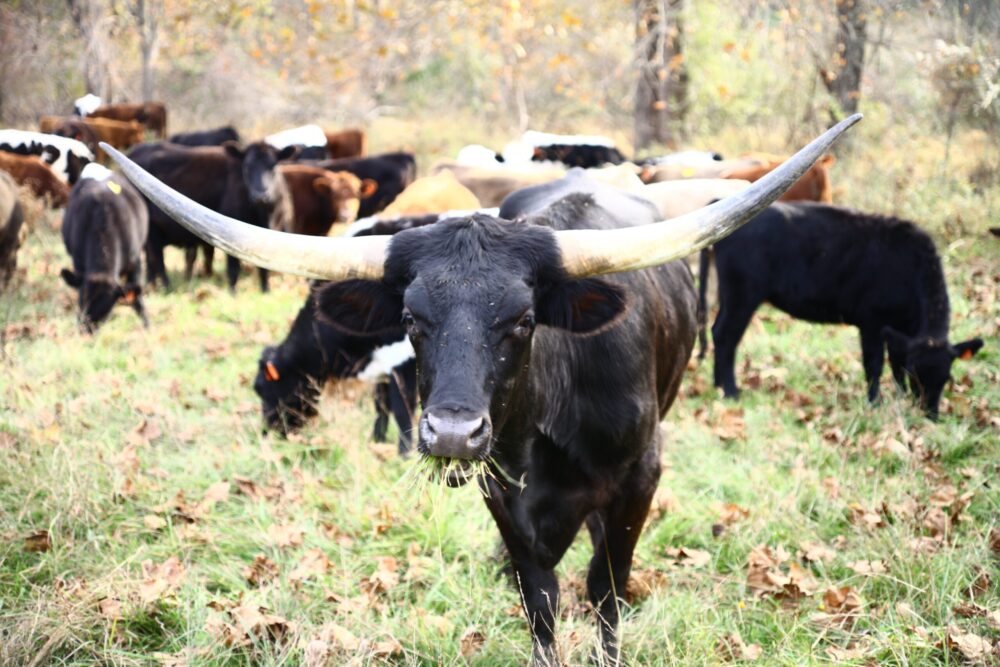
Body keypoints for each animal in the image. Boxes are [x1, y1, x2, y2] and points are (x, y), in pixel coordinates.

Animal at [59, 163, 149, 331]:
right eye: (82, 300)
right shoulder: (79, 265)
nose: (85, 329)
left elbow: (138, 300)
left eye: (106, 308)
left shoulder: (135, 261)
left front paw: (148, 327)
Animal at [128, 141, 295, 290]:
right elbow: (233, 268)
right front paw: (232, 293)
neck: (266, 216)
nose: (260, 196)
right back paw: (166, 288)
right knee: (158, 260)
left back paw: (151, 286)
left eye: (273, 166)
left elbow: (264, 268)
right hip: (152, 231)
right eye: (247, 166)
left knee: (151, 262)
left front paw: (265, 290)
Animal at [700, 202, 983, 419]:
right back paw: (731, 392)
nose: (930, 414)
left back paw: (717, 384)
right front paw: (874, 403)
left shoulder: (898, 331)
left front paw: (899, 396)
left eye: (946, 377)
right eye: (917, 376)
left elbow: (896, 363)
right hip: (743, 295)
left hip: (731, 295)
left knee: (716, 330)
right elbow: (874, 365)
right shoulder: (871, 323)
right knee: (726, 337)